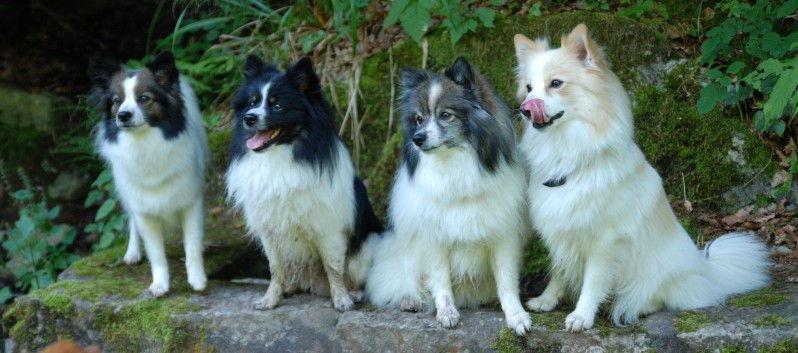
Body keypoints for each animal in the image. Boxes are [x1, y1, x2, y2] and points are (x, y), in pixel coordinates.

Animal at [90, 51, 209, 296]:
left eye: (144, 99)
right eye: (117, 101)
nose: (123, 116)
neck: (144, 143)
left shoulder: (191, 201)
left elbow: (192, 245)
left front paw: (197, 279)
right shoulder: (144, 210)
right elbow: (156, 254)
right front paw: (160, 285)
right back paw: (132, 253)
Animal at [227, 55, 386, 310]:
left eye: (277, 106)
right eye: (252, 103)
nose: (248, 118)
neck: (280, 155)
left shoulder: (329, 229)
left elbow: (334, 268)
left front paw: (341, 300)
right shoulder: (270, 231)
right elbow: (276, 269)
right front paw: (270, 299)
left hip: (369, 244)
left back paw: (354, 293)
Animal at [368, 57, 536, 332]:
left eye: (445, 116)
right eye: (418, 119)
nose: (417, 139)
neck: (453, 164)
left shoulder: (503, 236)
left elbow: (507, 281)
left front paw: (515, 315)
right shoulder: (434, 238)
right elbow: (441, 281)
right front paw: (446, 313)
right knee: (404, 279)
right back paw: (410, 300)